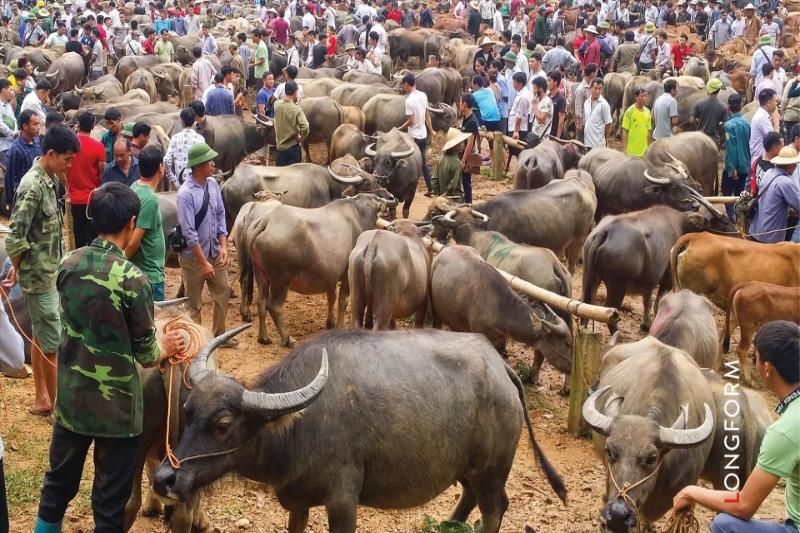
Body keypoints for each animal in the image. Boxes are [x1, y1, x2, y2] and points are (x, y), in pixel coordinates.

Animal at [155, 328, 568, 532]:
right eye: (188, 411)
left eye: (223, 424)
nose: (164, 479)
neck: (299, 427)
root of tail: (501, 369)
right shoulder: (298, 501)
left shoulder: (342, 502)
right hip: (467, 469)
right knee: (468, 498)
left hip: (491, 472)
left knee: (495, 510)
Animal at [231, 193, 394, 348]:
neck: (359, 215)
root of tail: (266, 221)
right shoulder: (346, 277)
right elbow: (343, 301)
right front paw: (339, 325)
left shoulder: (330, 277)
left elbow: (331, 298)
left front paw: (330, 323)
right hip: (280, 280)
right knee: (274, 306)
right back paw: (288, 339)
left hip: (261, 275)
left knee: (261, 303)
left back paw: (263, 337)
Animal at [432, 243, 576, 376]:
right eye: (567, 343)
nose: (572, 367)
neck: (500, 308)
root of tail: (445, 249)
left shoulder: (501, 341)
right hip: (435, 311)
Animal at [580, 204, 732, 332]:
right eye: (725, 221)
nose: (735, 232)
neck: (681, 225)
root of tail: (606, 231)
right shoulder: (667, 279)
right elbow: (657, 303)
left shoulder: (649, 280)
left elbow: (647, 301)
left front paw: (645, 325)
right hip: (617, 286)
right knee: (610, 314)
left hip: (589, 277)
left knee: (586, 304)